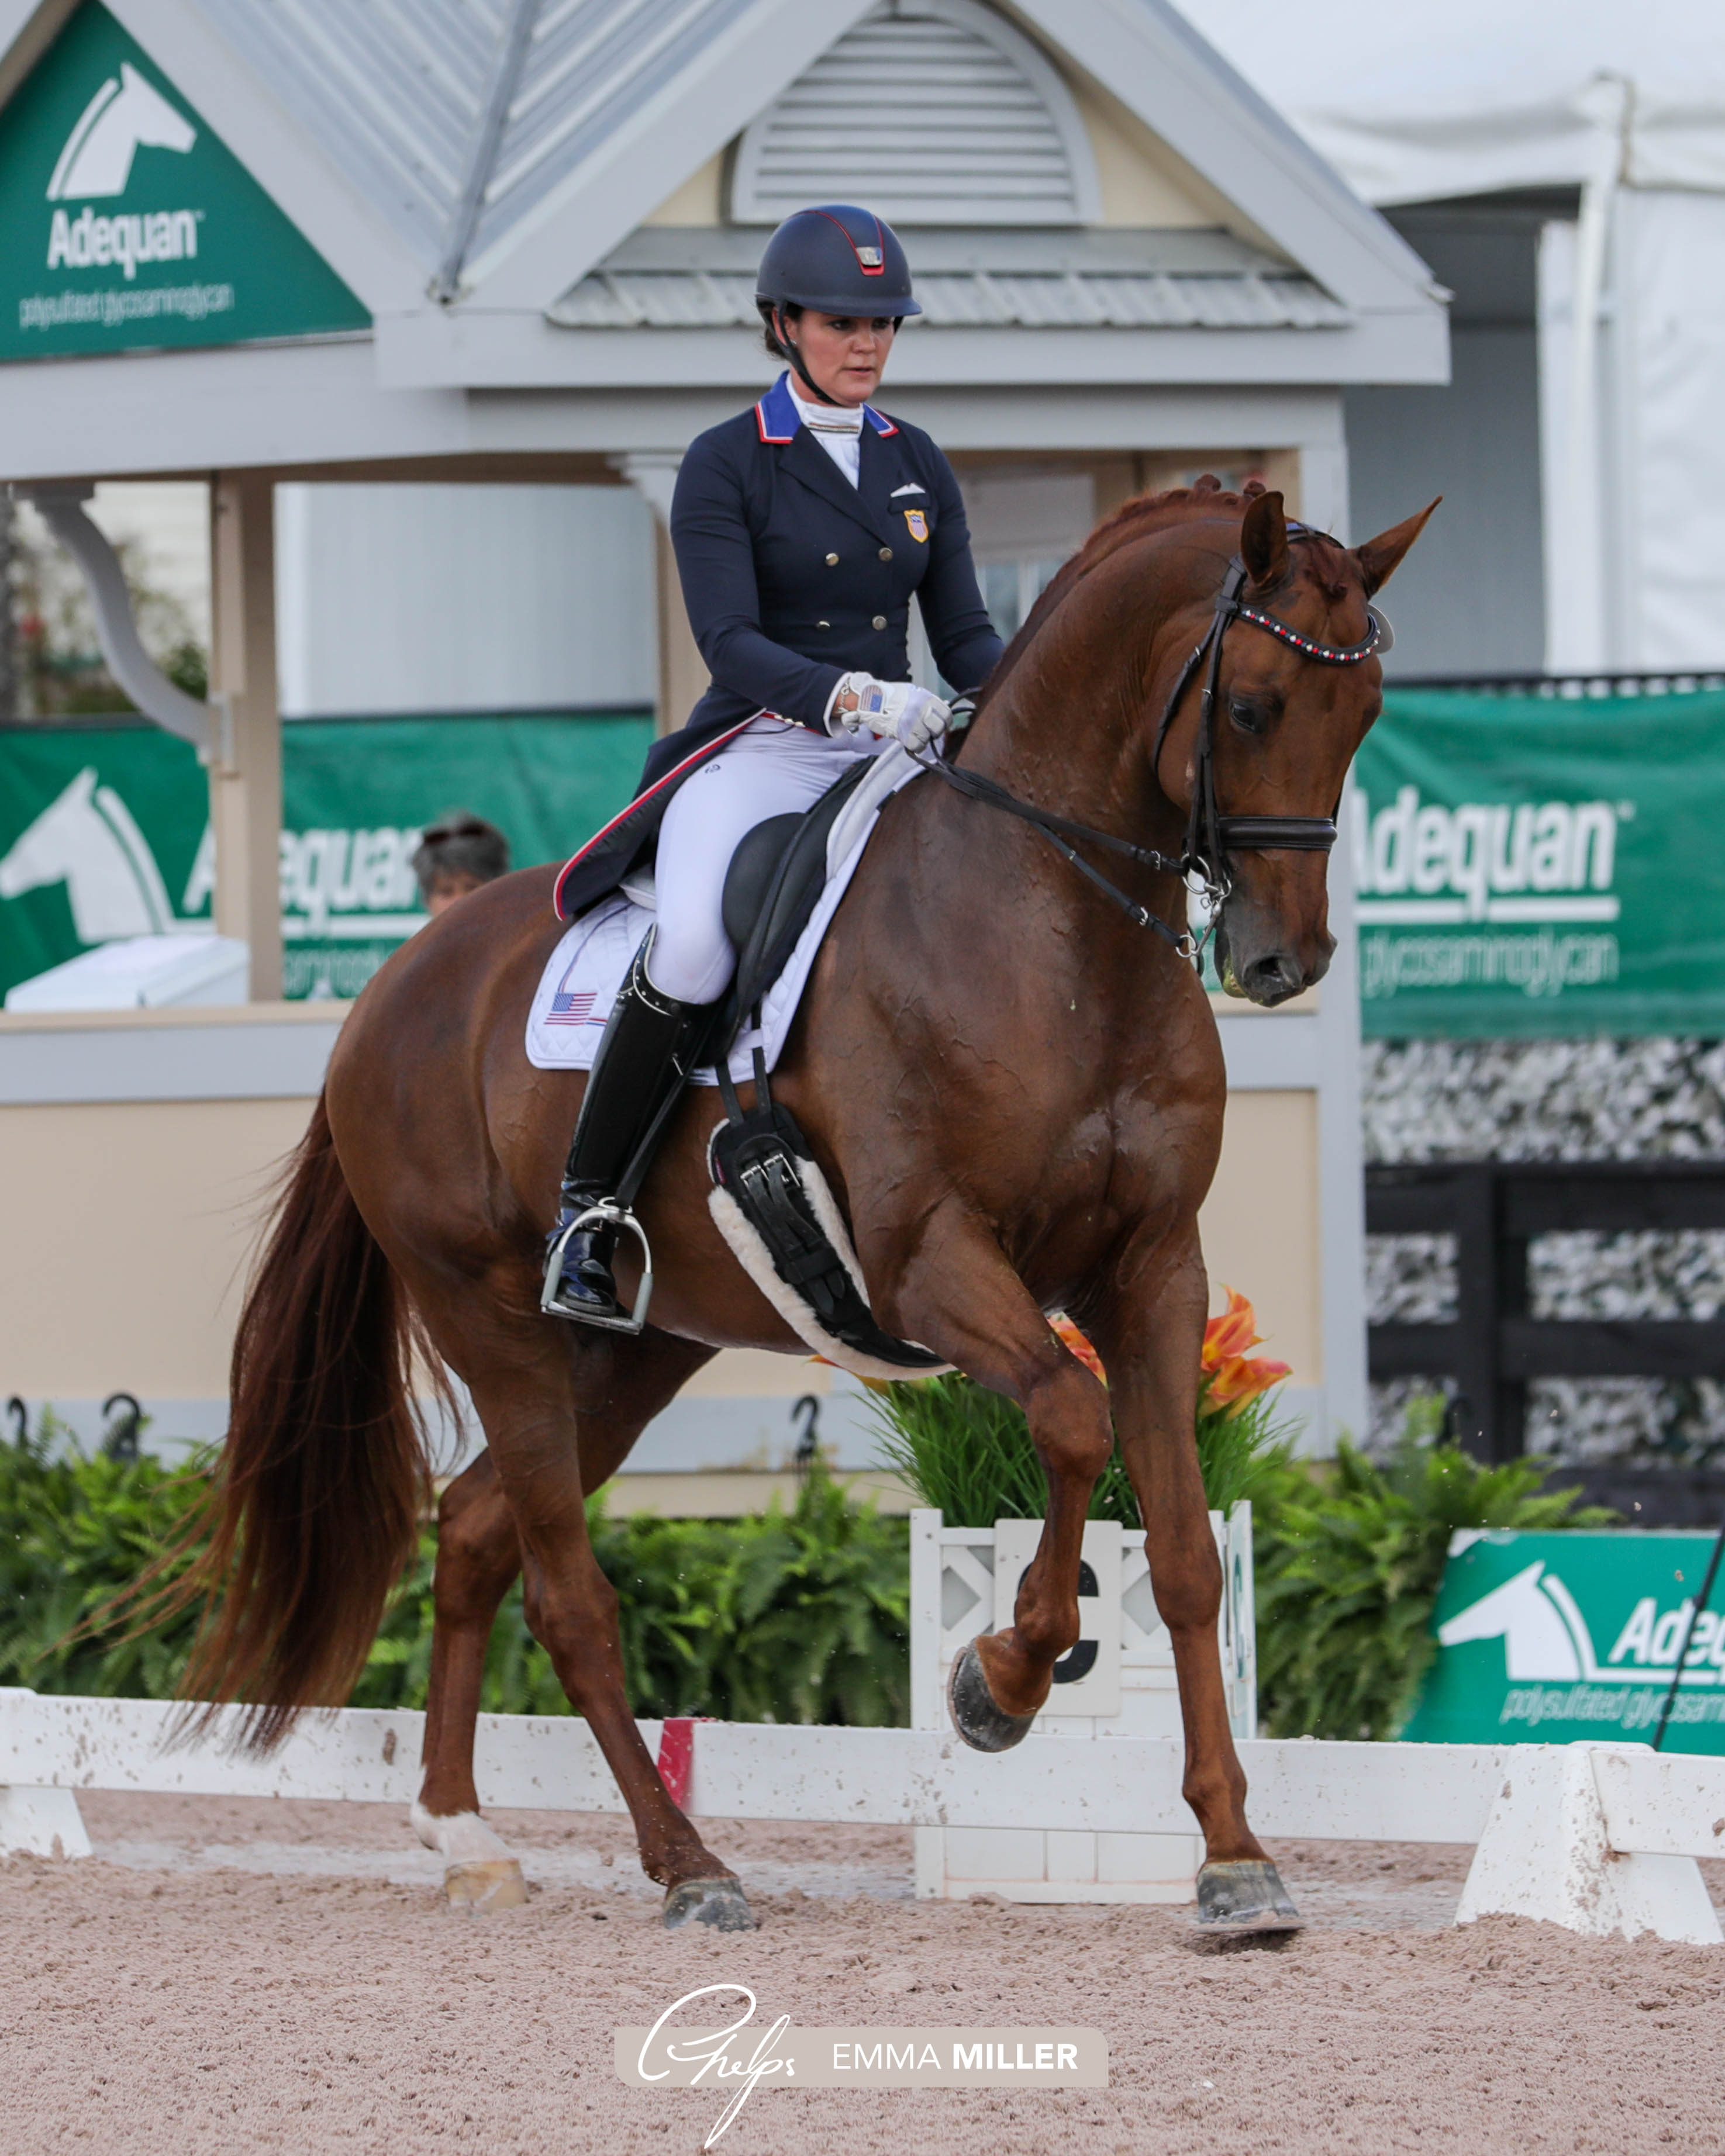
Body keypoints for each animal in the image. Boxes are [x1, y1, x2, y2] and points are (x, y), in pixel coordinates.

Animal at [185, 489, 1431, 1940]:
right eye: (1247, 705)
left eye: (1362, 715)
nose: (1283, 961)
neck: (1058, 931)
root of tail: (388, 991)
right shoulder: (924, 1259)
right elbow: (1069, 1425)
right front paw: (1001, 1676)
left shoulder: (1152, 1269)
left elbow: (1181, 1550)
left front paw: (1234, 1858)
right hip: (490, 1316)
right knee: (566, 1589)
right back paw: (688, 1864)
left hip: (637, 1349)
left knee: (480, 1527)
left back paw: (463, 1832)